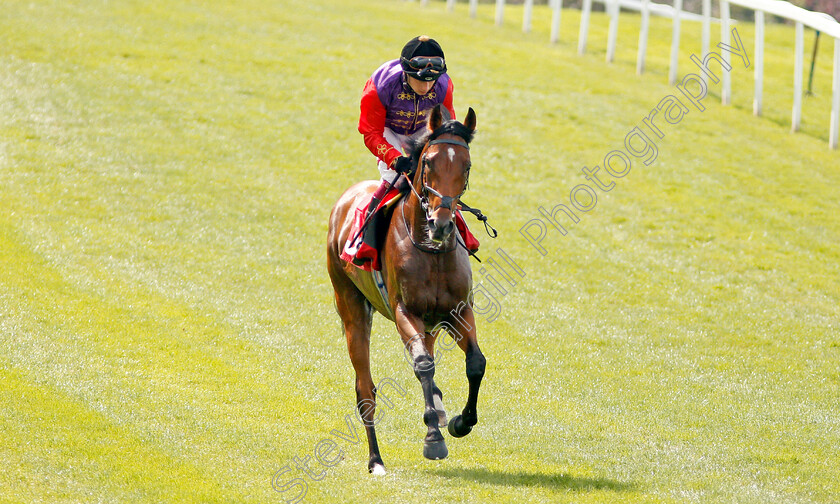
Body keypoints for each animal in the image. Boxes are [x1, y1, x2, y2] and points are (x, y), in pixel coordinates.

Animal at [328, 104, 486, 474]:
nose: (441, 224)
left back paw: (440, 409)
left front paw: (460, 422)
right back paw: (376, 460)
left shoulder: (458, 311)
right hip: (351, 306)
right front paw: (433, 439)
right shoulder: (405, 311)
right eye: (427, 162)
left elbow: (476, 363)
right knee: (365, 390)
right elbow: (424, 366)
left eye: (466, 166)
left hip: (430, 323)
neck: (432, 251)